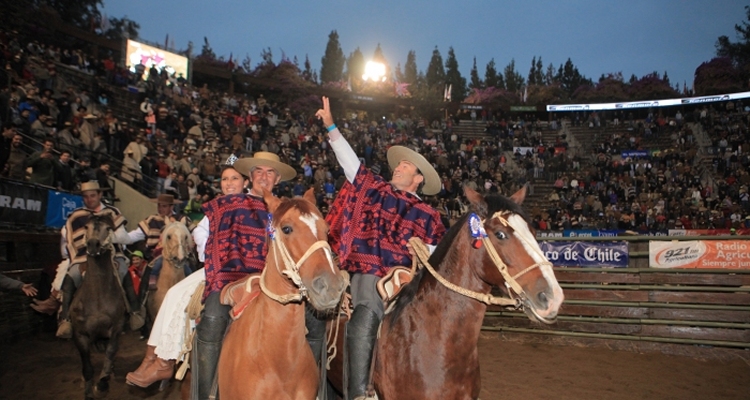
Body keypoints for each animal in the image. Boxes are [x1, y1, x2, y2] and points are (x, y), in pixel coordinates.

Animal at [70, 216, 129, 400]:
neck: (97, 298)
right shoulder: (80, 334)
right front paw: (88, 391)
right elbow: (87, 366)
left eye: (108, 228)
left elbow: (110, 353)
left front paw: (102, 383)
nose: (93, 244)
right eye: (86, 227)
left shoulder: (116, 329)